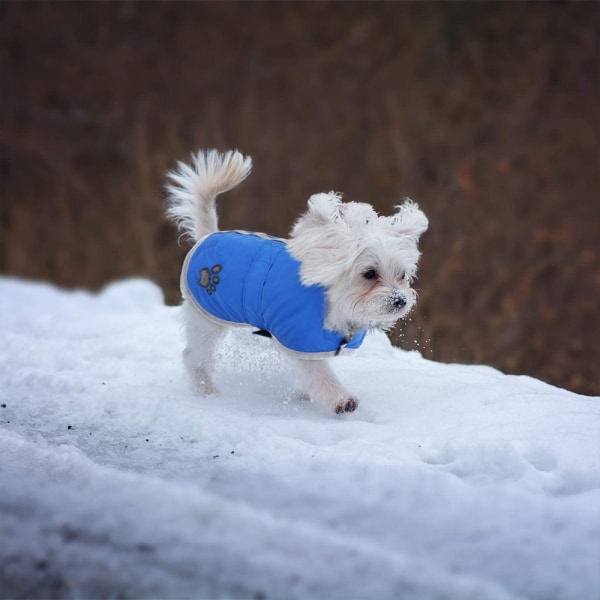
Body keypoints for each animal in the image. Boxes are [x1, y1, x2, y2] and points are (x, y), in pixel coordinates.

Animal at [164, 150, 426, 412]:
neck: (334, 302)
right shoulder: (299, 340)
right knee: (193, 357)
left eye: (402, 275)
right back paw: (206, 390)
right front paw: (341, 399)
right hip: (207, 321)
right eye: (370, 273)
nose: (400, 300)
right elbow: (319, 374)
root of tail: (208, 235)